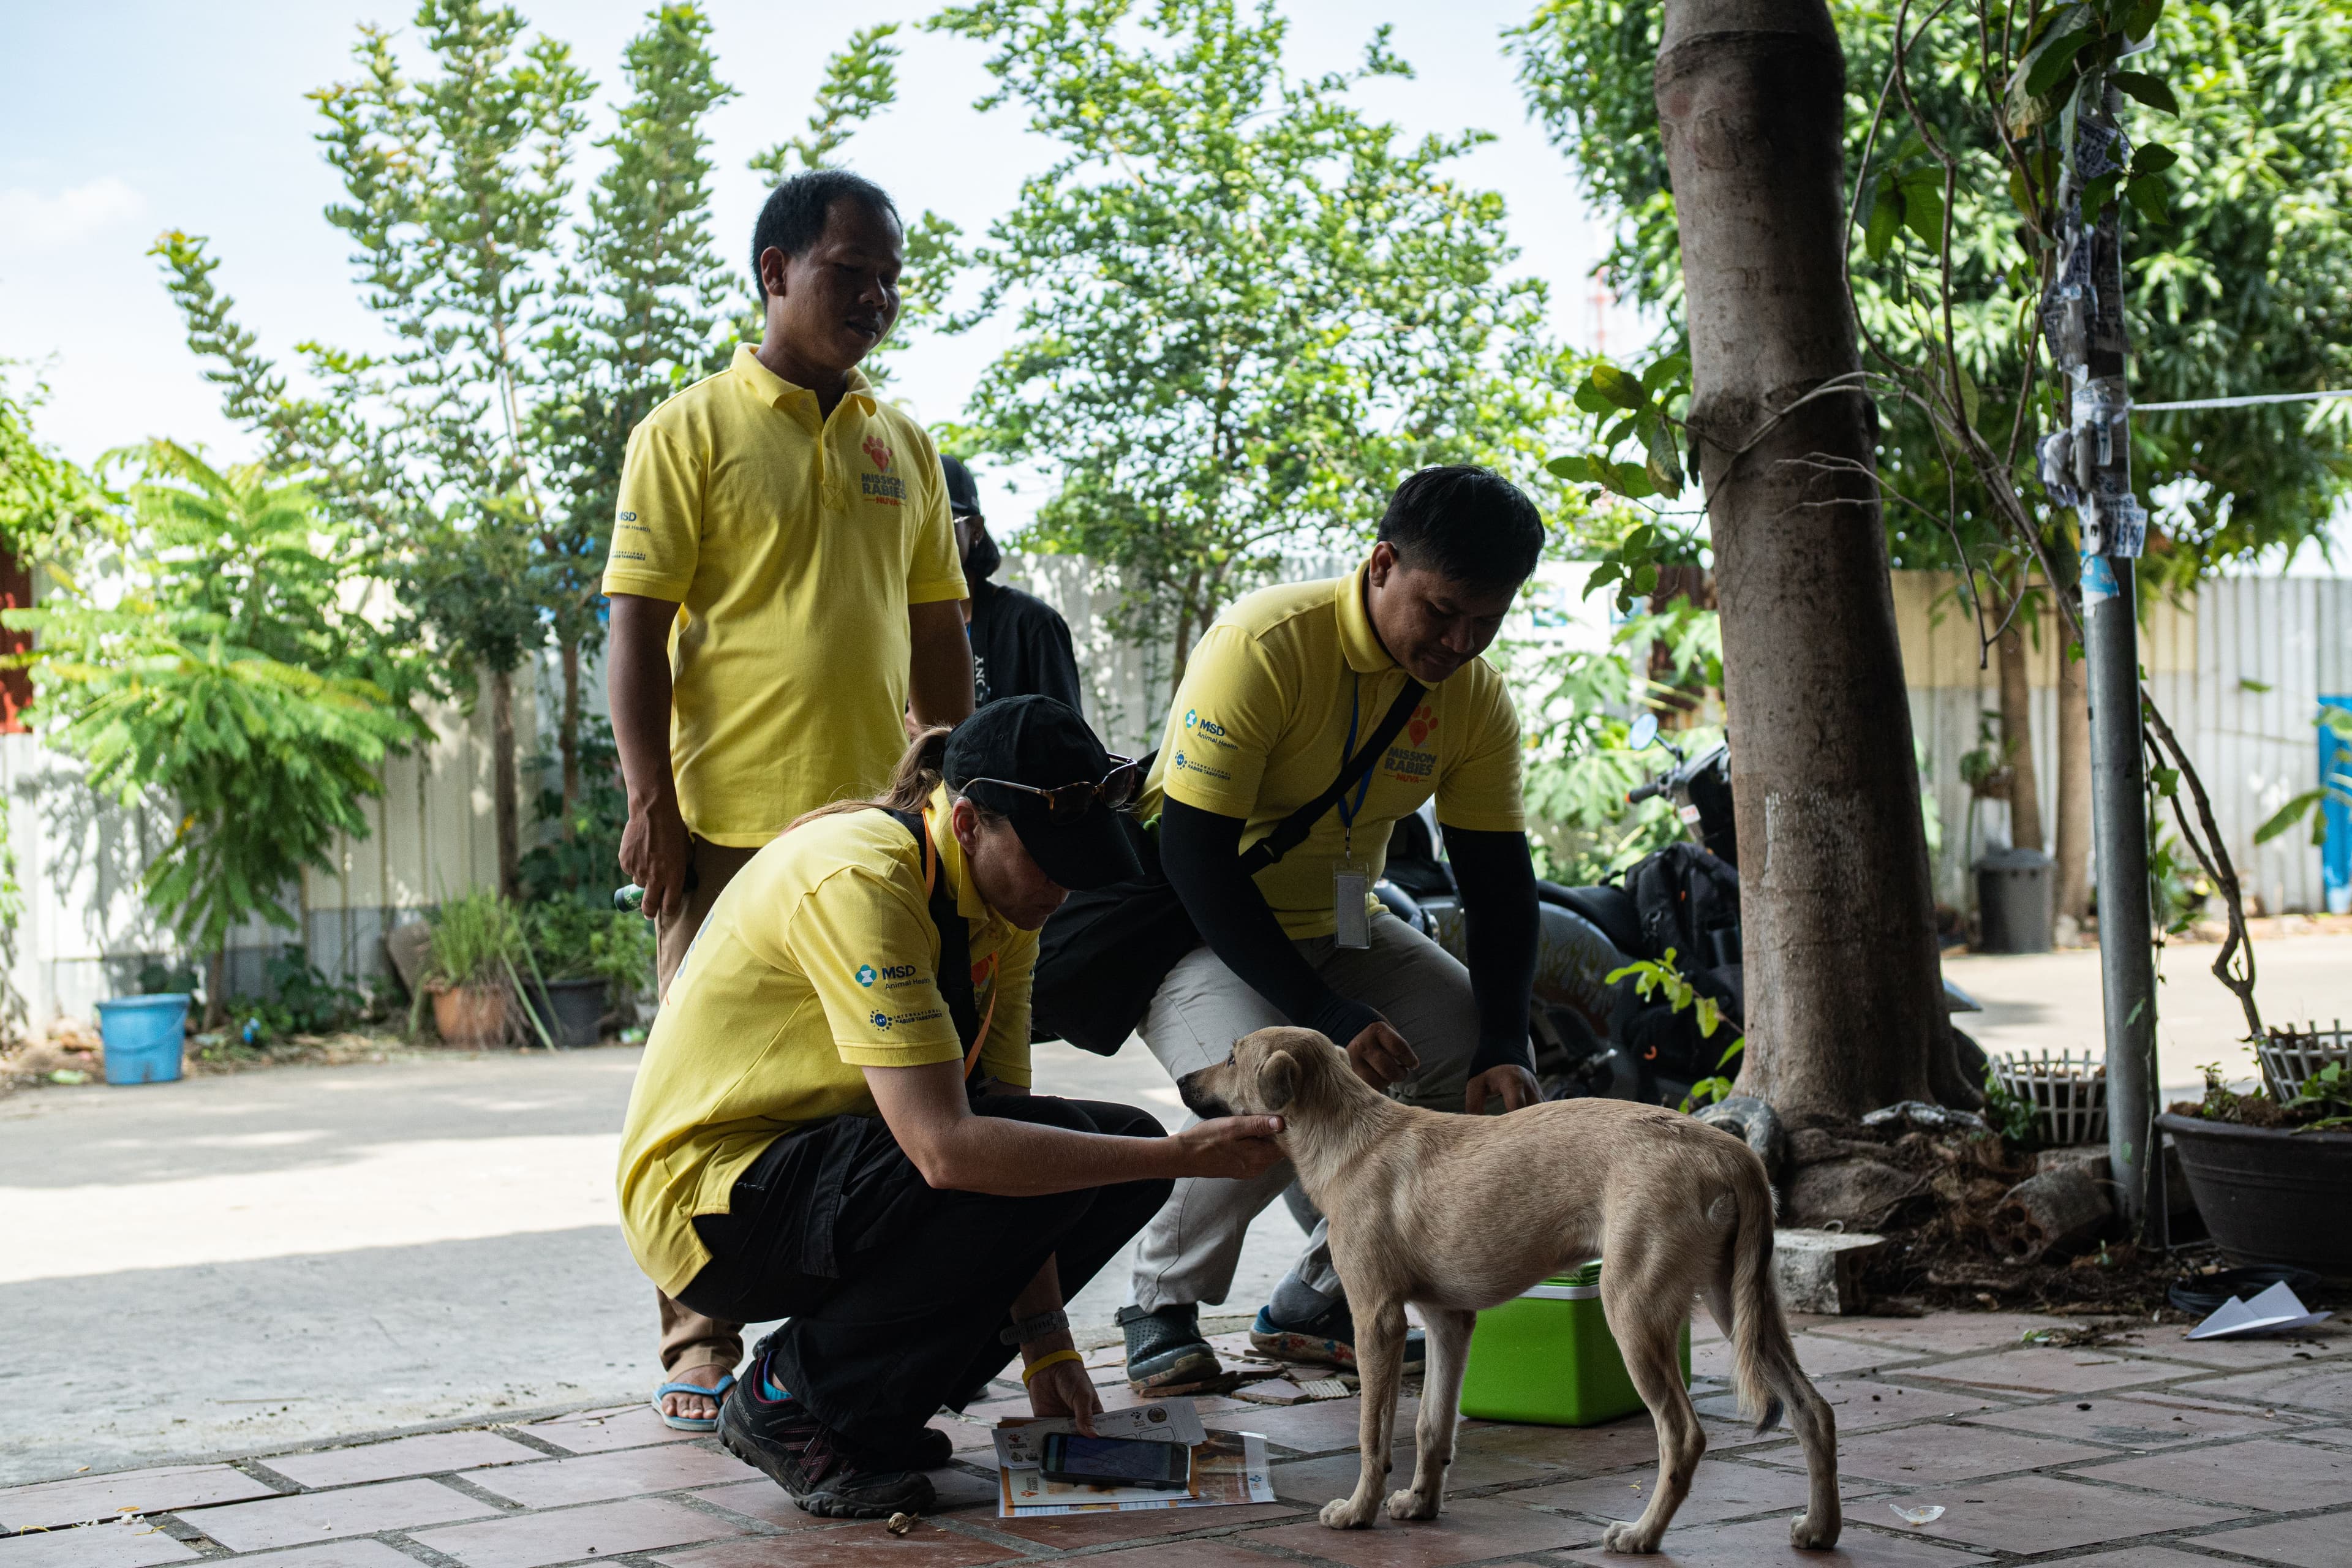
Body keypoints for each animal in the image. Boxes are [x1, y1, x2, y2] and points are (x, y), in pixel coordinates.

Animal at [1176, 1025, 1834, 1551]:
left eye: (1232, 1058)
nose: (1181, 1080)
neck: (1349, 1135)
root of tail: (1733, 1153)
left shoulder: (1377, 1320)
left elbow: (1373, 1432)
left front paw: (1359, 1511)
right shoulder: (1448, 1320)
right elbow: (1432, 1425)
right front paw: (1420, 1503)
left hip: (1635, 1309)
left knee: (1684, 1436)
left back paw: (1642, 1535)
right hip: (1740, 1303)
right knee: (1814, 1410)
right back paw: (1819, 1529)